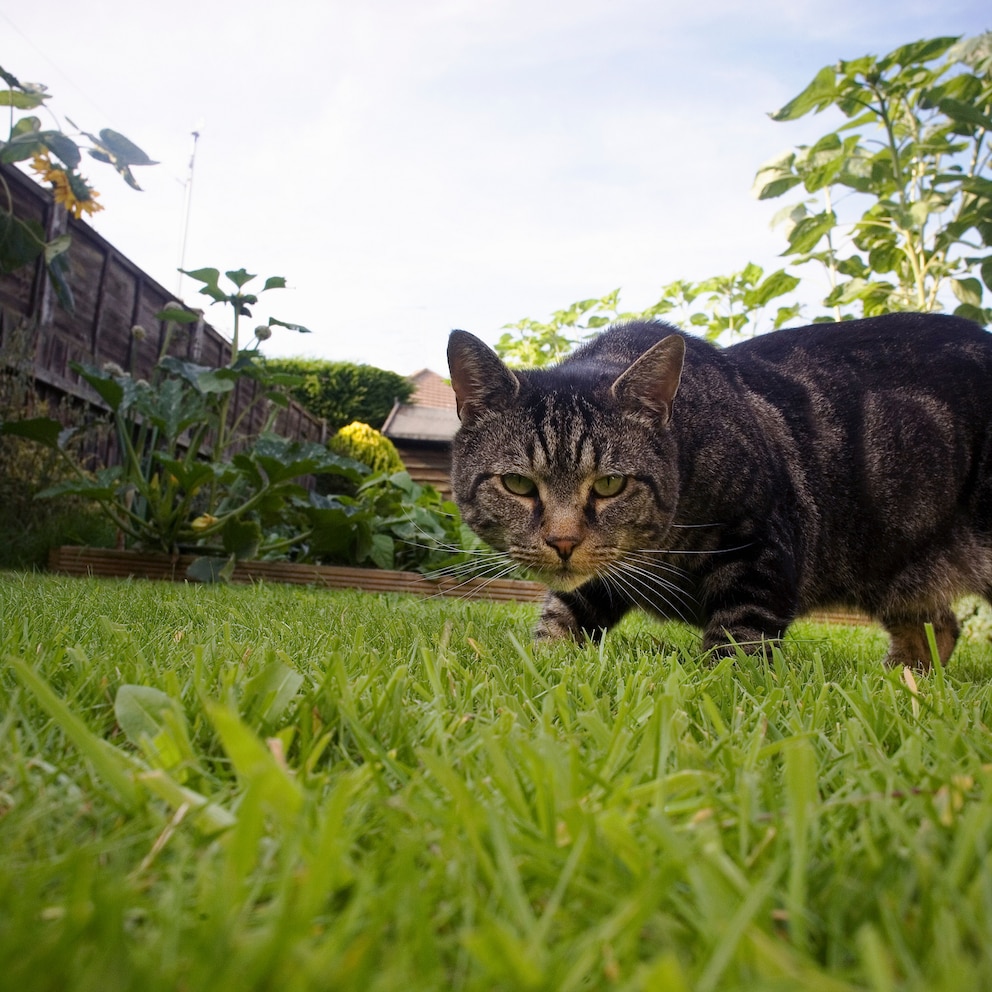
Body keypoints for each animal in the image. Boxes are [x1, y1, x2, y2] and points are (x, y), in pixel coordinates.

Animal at [446, 314, 992, 672]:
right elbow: (559, 621)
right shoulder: (603, 576)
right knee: (938, 625)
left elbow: (735, 652)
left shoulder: (759, 550)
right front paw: (540, 669)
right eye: (518, 484)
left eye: (609, 483)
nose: (562, 542)